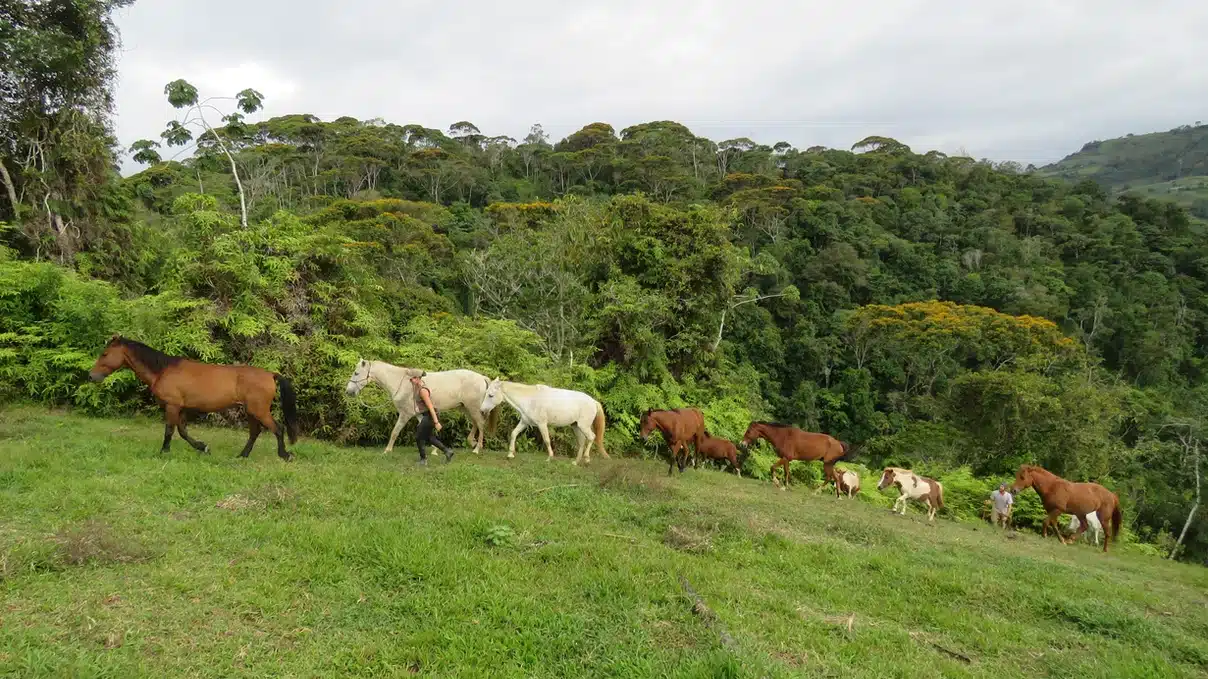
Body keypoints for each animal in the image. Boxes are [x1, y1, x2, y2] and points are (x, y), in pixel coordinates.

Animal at [88, 333, 299, 459]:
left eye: (105, 354)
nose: (91, 375)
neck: (162, 370)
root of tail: (270, 374)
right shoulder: (181, 408)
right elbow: (182, 431)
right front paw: (202, 447)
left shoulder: (172, 406)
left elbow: (169, 430)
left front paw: (164, 451)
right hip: (251, 411)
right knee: (255, 433)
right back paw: (242, 455)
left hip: (259, 410)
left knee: (278, 429)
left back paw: (285, 455)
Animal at [345, 357, 500, 451]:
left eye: (356, 373)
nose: (349, 391)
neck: (401, 382)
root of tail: (482, 377)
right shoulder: (419, 413)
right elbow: (425, 430)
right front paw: (435, 450)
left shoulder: (405, 414)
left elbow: (395, 432)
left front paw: (387, 451)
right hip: (465, 408)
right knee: (475, 423)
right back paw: (472, 442)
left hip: (473, 408)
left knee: (480, 424)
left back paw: (477, 448)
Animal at [478, 374, 608, 463]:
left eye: (490, 395)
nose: (482, 410)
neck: (530, 399)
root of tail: (593, 402)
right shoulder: (524, 422)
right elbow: (514, 433)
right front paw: (510, 454)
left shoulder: (542, 424)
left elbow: (546, 440)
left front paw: (550, 457)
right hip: (575, 426)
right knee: (581, 442)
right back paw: (576, 462)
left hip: (583, 426)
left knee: (591, 437)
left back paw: (586, 459)